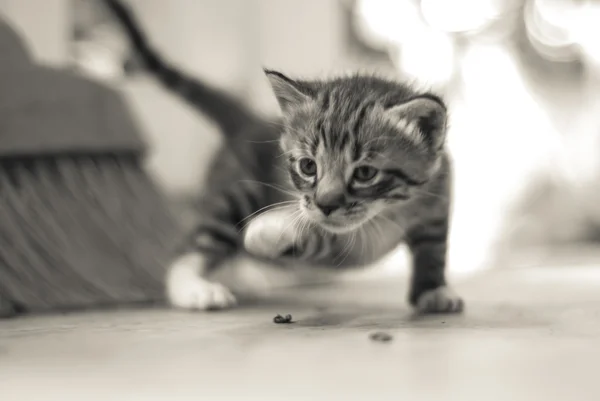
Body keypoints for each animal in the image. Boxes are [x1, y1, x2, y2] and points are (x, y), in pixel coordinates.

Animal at [104, 0, 464, 312]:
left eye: (365, 173)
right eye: (308, 166)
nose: (326, 204)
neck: (390, 212)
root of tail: (249, 120)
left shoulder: (438, 200)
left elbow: (434, 249)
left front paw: (433, 291)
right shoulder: (334, 242)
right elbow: (312, 236)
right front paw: (269, 231)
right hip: (238, 190)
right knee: (198, 243)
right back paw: (194, 287)